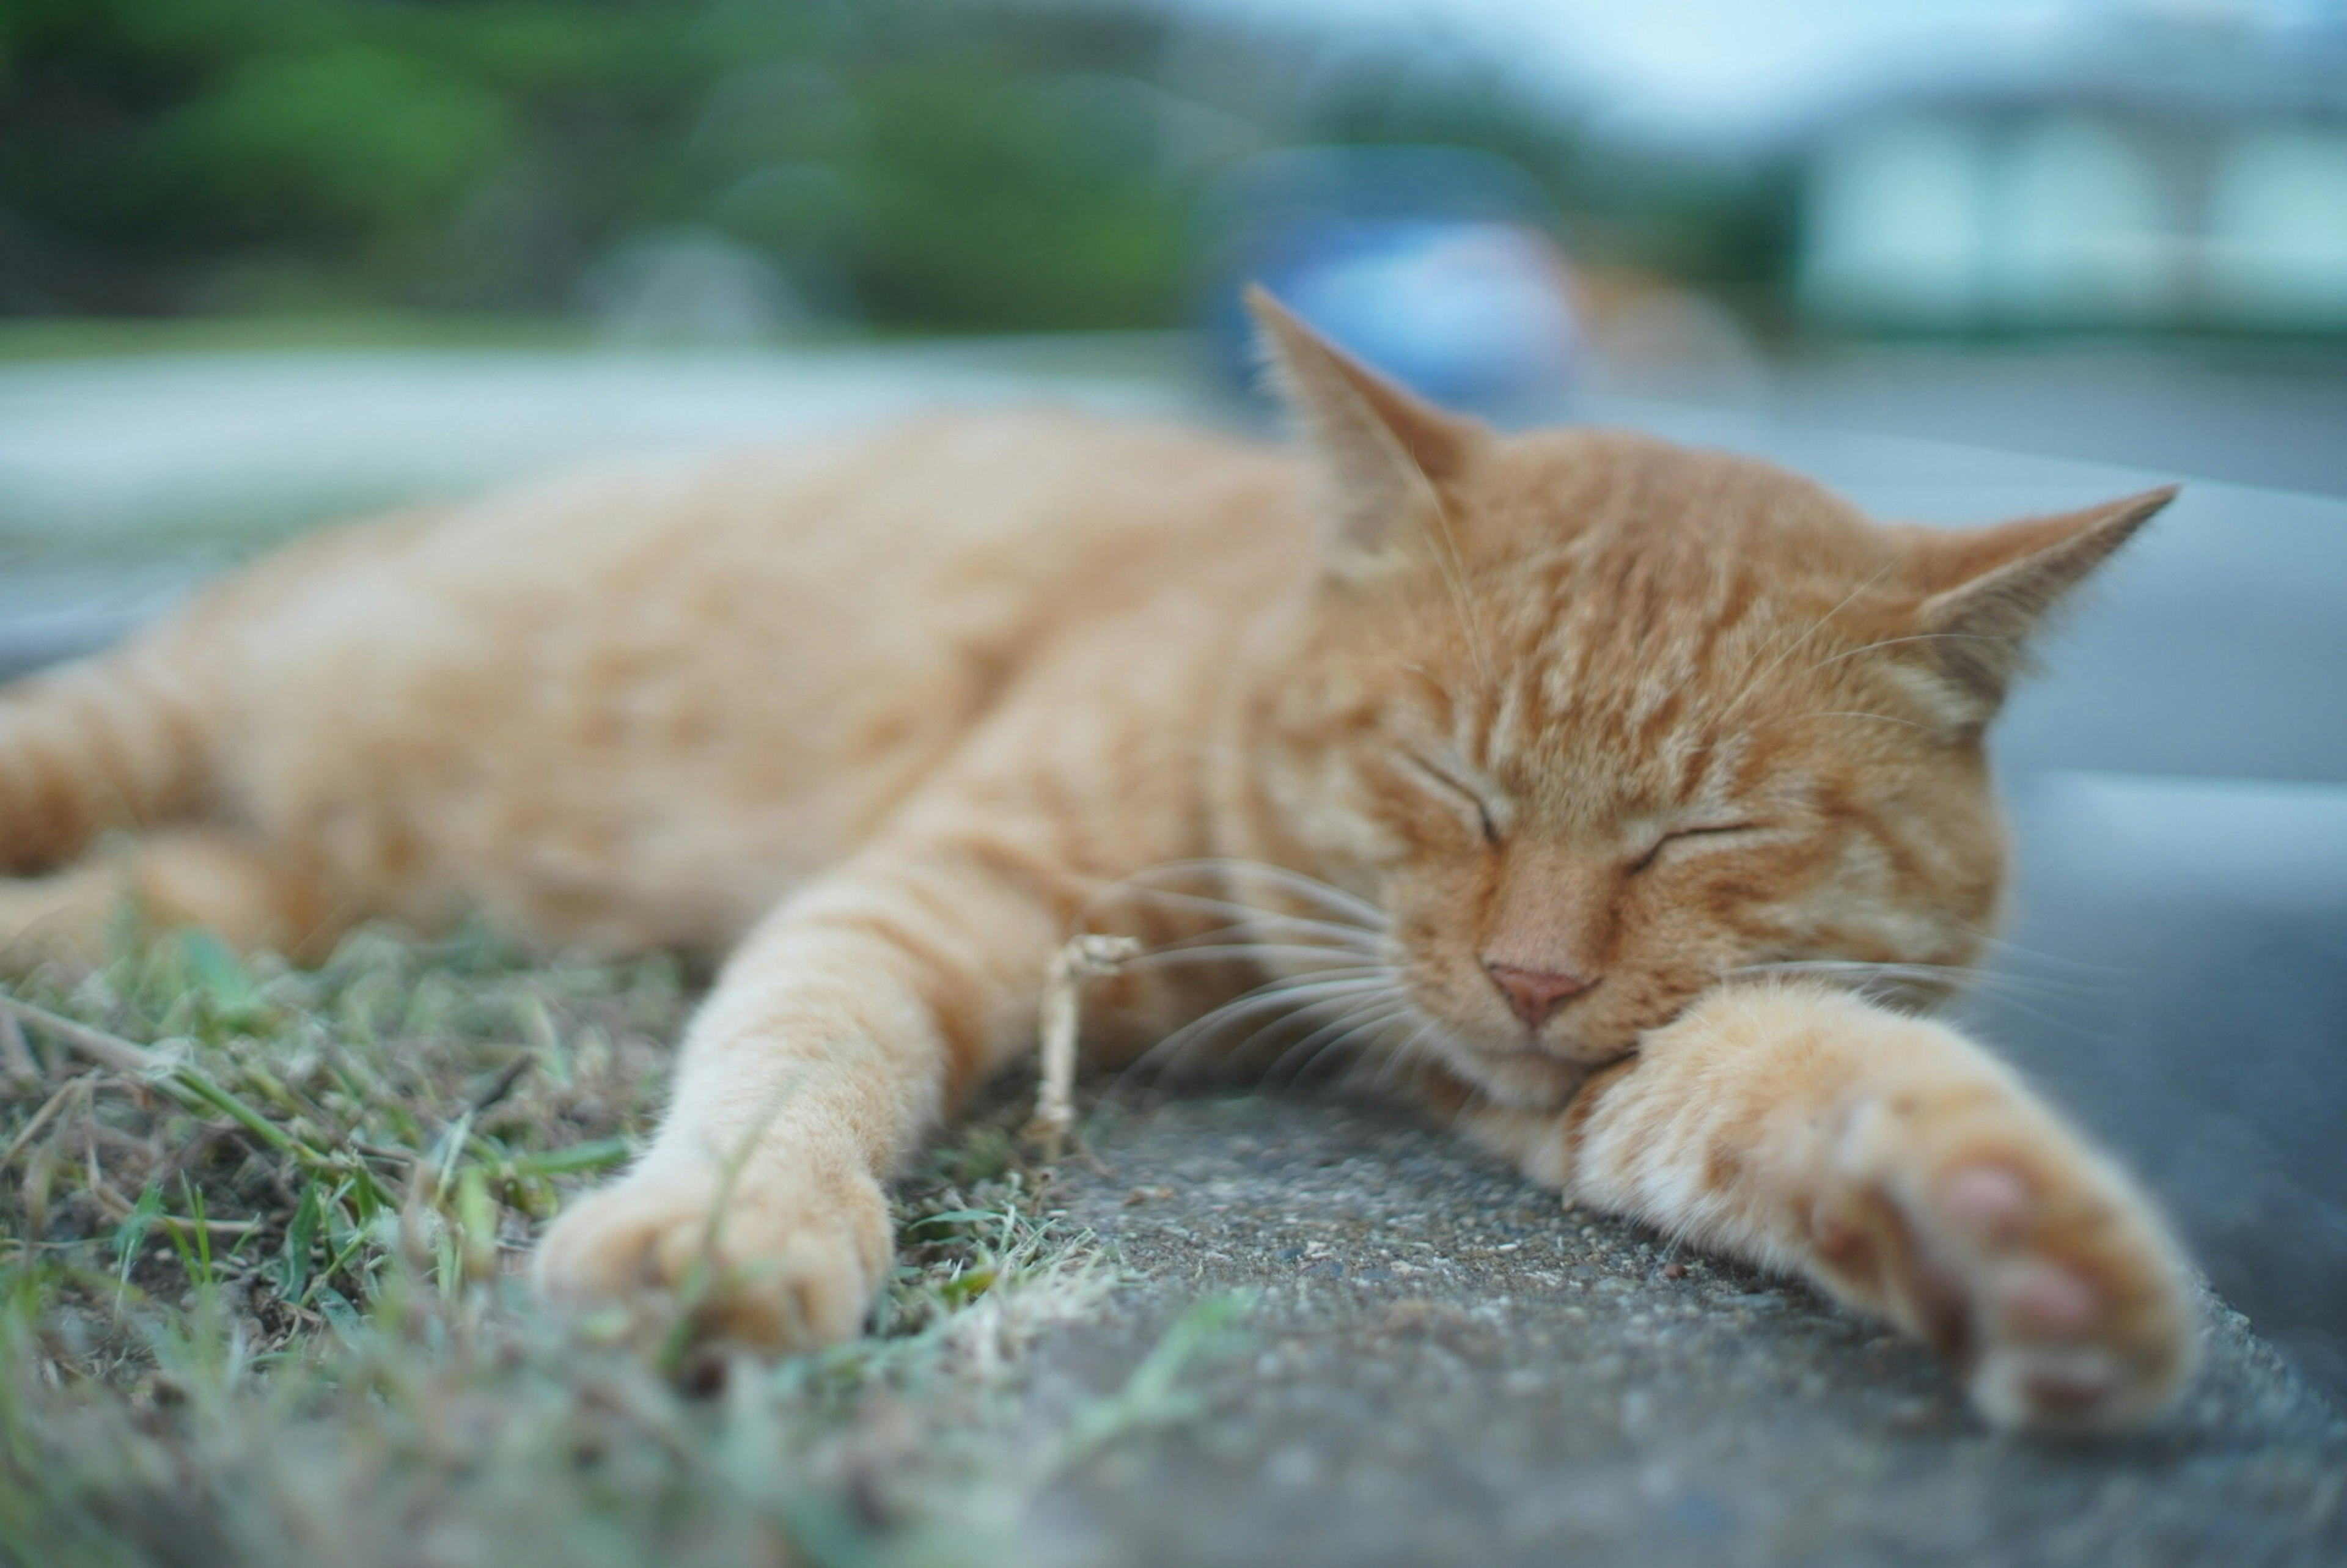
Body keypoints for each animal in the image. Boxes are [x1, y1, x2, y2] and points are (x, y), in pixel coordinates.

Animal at [0, 293, 2187, 1436]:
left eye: (1705, 831)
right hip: (146, 718)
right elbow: (804, 1054)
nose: (1535, 976)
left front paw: (2008, 1240)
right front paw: (729, 1235)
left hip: (266, 889)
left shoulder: (1573, 1069)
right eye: (1450, 784)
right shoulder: (933, 893)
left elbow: (1795, 1083)